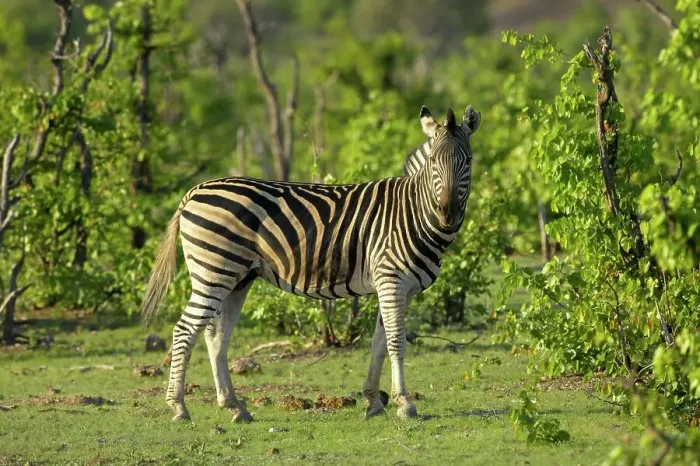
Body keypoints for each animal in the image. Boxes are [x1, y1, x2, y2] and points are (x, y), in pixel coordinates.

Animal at [140, 104, 481, 422]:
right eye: (434, 162)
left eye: (468, 161)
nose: (448, 213)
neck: (413, 212)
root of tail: (195, 190)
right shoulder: (391, 281)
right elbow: (397, 342)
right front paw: (405, 404)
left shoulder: (401, 289)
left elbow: (379, 344)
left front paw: (373, 402)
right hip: (214, 270)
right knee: (185, 330)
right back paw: (179, 407)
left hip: (237, 278)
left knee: (215, 336)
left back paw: (235, 407)